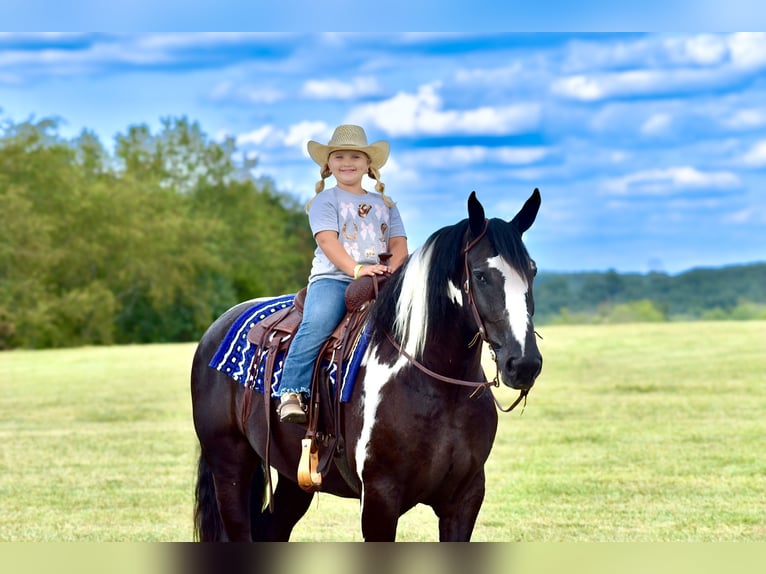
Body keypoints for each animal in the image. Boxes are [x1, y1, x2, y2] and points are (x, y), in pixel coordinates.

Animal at [191, 190, 540, 544]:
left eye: (533, 271)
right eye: (481, 275)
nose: (524, 364)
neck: (436, 387)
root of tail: (217, 328)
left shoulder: (465, 499)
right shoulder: (379, 498)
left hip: (294, 477)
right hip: (230, 467)